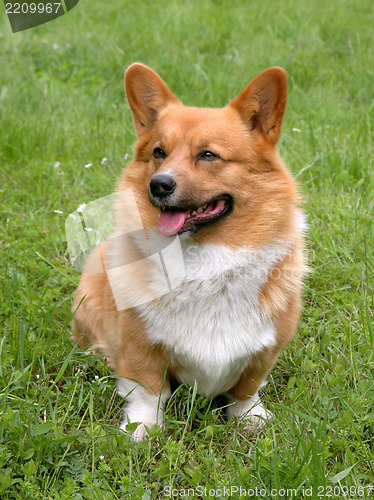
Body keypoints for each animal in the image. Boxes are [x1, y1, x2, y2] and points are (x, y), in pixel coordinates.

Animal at [71, 63, 306, 442]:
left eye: (208, 154)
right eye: (158, 152)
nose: (159, 185)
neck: (203, 260)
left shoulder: (265, 350)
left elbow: (247, 389)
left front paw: (250, 418)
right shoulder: (140, 347)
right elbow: (149, 391)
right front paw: (143, 429)